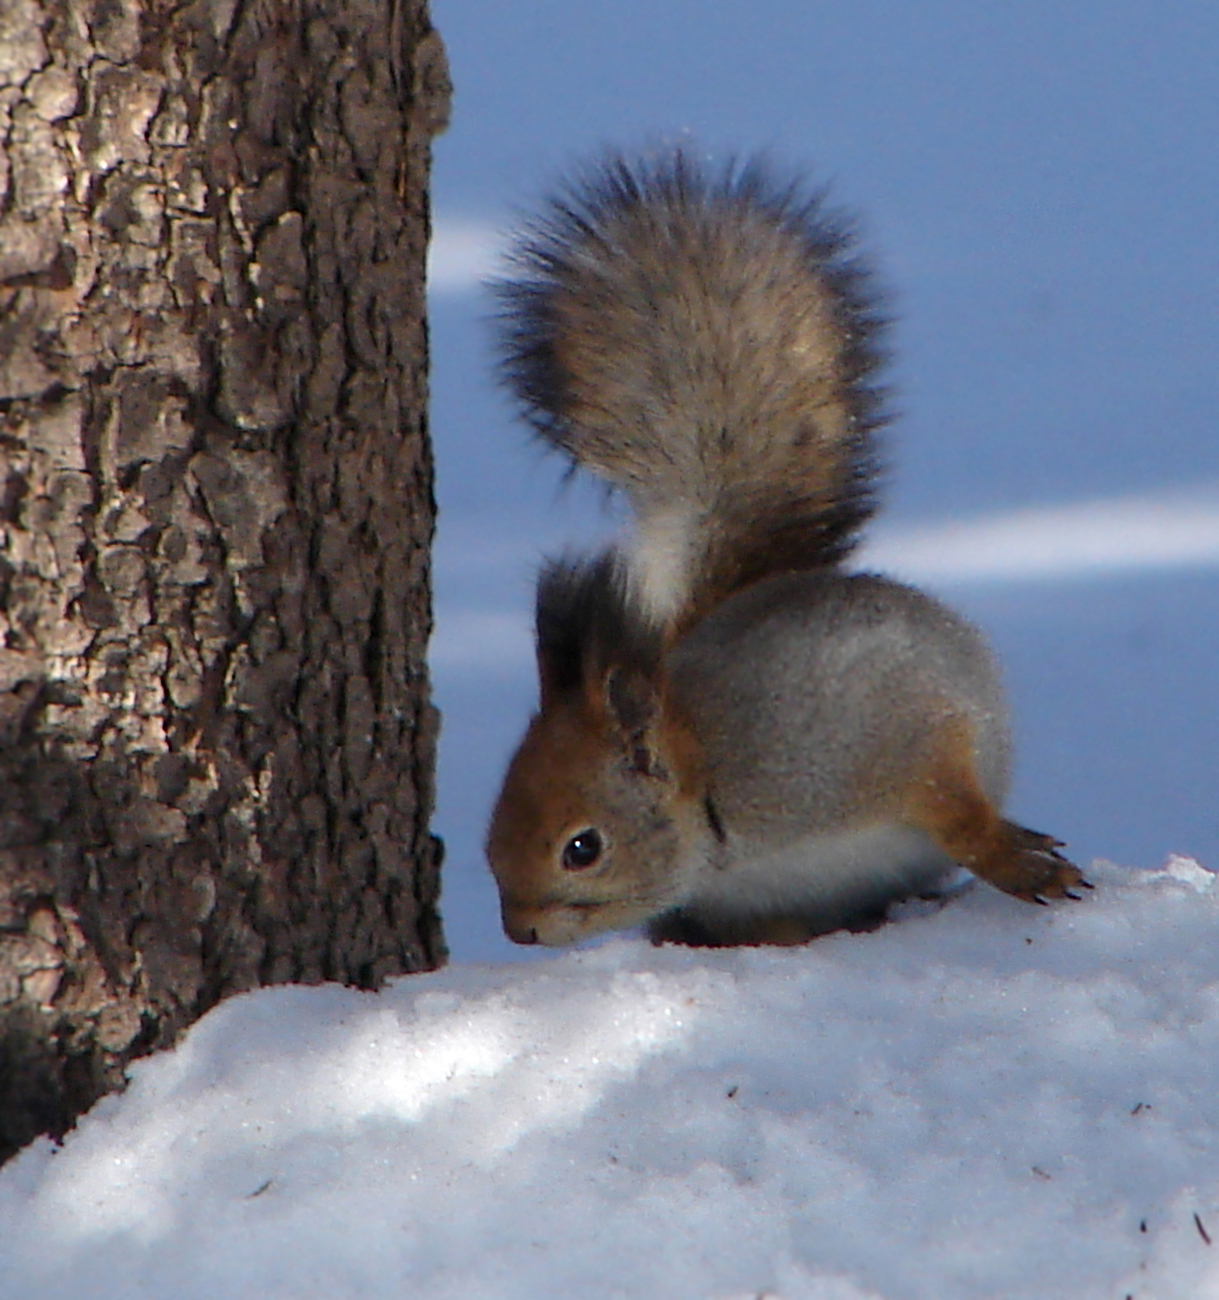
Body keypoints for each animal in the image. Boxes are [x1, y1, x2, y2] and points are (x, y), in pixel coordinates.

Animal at [483, 149, 1081, 946]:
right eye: (491, 832)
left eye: (583, 848)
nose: (518, 930)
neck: (713, 791)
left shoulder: (883, 737)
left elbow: (952, 803)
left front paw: (1018, 861)